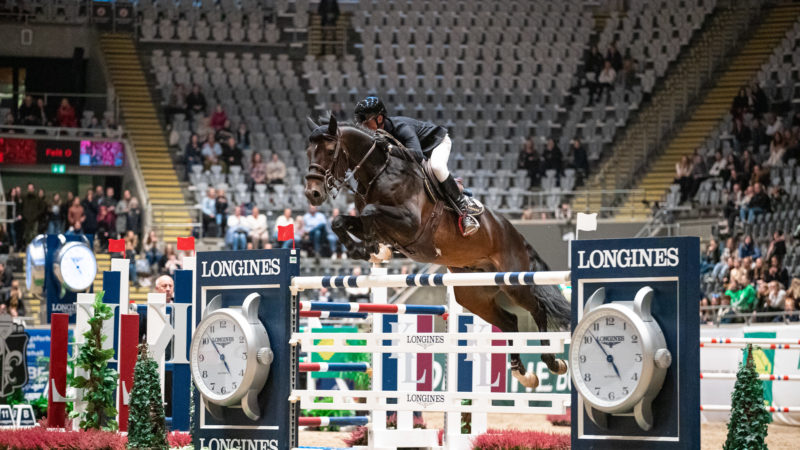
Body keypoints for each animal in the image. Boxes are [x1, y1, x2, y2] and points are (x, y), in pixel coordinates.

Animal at [304, 117, 572, 390]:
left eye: (330, 151)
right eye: (308, 152)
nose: (312, 193)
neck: (377, 172)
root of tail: (516, 233)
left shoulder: (410, 222)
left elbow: (370, 212)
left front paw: (370, 246)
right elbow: (340, 222)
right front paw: (366, 249)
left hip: (514, 282)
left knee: (538, 309)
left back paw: (552, 362)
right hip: (473, 294)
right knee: (509, 321)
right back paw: (522, 372)